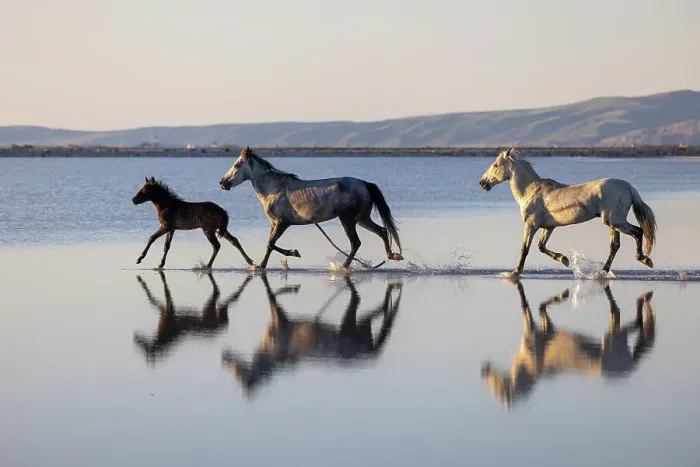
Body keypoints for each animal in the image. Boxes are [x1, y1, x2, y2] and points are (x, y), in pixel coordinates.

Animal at [218, 147, 404, 269]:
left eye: (237, 165)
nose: (222, 183)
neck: (274, 189)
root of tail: (365, 184)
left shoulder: (282, 223)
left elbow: (271, 244)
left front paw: (293, 253)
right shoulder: (274, 224)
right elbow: (269, 245)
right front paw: (261, 265)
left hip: (348, 220)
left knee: (356, 243)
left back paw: (344, 266)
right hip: (362, 219)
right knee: (382, 231)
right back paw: (392, 256)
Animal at [221, 273, 402, 398]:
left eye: (237, 376)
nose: (225, 359)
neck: (270, 353)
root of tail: (368, 354)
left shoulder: (280, 320)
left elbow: (272, 298)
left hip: (350, 326)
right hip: (360, 328)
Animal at [478, 148, 657, 277]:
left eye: (495, 165)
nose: (482, 183)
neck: (530, 191)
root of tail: (629, 187)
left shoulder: (531, 225)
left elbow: (525, 248)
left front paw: (515, 272)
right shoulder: (548, 227)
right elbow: (541, 247)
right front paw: (564, 259)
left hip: (614, 221)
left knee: (637, 231)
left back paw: (644, 259)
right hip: (612, 223)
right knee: (615, 245)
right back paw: (602, 272)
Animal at [480, 280, 656, 409]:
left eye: (497, 390)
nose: (484, 371)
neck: (529, 365)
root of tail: (629, 368)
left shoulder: (532, 331)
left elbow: (531, 309)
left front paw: (562, 295)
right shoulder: (548, 329)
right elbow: (542, 309)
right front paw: (562, 295)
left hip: (612, 337)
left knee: (630, 319)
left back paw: (643, 299)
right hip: (617, 338)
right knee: (636, 324)